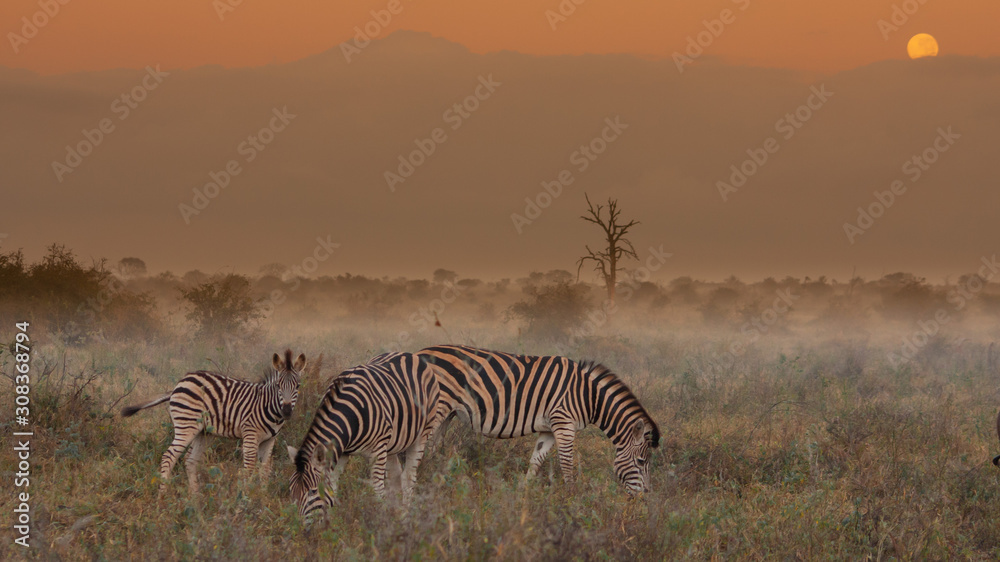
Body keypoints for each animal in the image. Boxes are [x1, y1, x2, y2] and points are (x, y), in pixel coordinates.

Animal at [121, 349, 308, 493]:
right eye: (278, 386)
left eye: (298, 386)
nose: (286, 411)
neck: (269, 407)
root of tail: (180, 382)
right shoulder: (250, 435)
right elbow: (249, 468)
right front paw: (246, 500)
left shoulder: (270, 440)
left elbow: (265, 470)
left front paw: (262, 499)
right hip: (186, 426)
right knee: (169, 456)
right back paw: (162, 497)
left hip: (203, 432)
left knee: (190, 460)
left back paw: (195, 499)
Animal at [287, 352, 443, 518]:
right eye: (291, 490)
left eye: (312, 491)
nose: (300, 525)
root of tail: (407, 354)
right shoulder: (342, 452)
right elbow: (333, 488)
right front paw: (331, 521)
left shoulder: (378, 450)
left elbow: (377, 489)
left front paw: (381, 519)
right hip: (392, 444)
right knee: (395, 476)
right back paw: (396, 512)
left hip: (422, 434)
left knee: (408, 477)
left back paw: (404, 514)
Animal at [418, 345, 660, 494]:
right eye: (641, 462)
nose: (645, 496)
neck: (589, 396)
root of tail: (420, 352)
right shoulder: (564, 423)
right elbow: (567, 464)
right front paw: (573, 500)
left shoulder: (549, 429)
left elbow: (536, 460)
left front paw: (523, 496)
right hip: (435, 408)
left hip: (447, 413)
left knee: (433, 448)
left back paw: (434, 481)